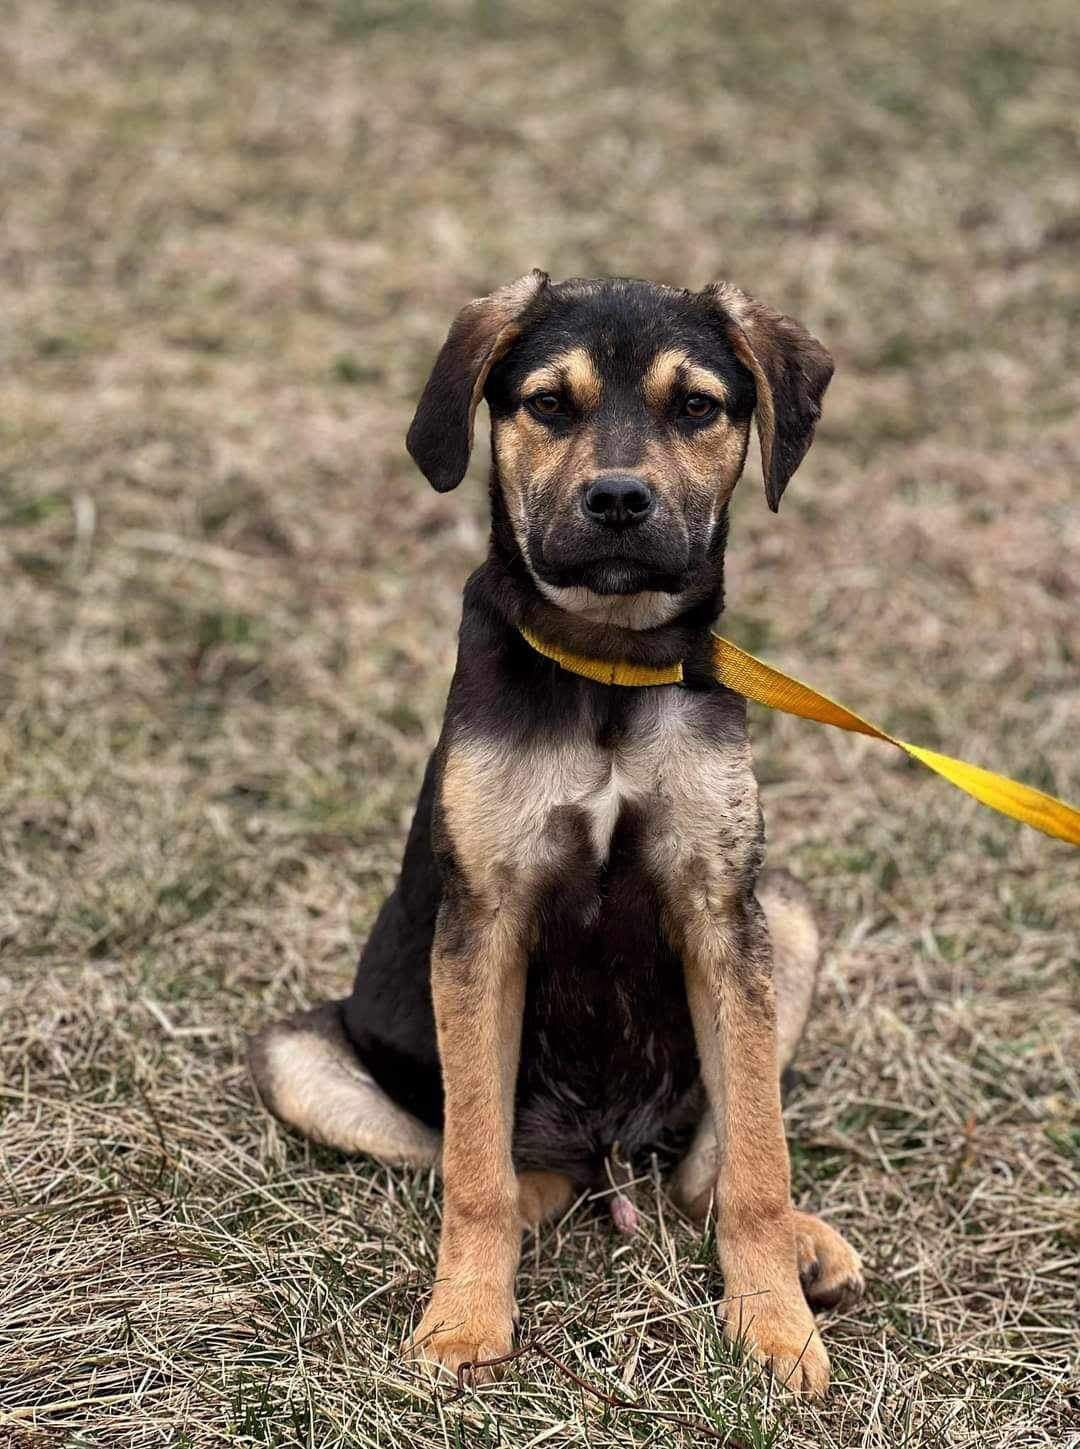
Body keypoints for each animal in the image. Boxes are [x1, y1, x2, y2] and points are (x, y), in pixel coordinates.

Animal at [247, 272, 864, 1391]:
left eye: (697, 406)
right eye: (547, 404)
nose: (618, 500)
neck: (608, 664)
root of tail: (604, 1147)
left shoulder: (723, 909)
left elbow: (757, 1152)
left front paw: (774, 1327)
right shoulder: (483, 923)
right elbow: (475, 1169)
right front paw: (463, 1322)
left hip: (785, 918)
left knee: (705, 1170)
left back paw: (803, 1246)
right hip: (298, 1058)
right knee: (493, 1159)